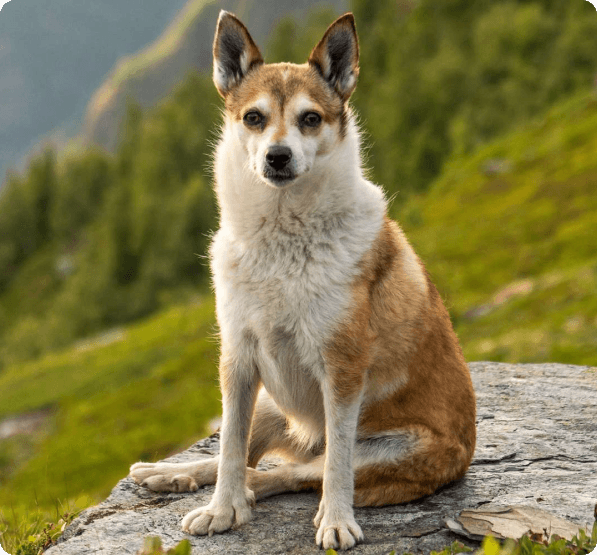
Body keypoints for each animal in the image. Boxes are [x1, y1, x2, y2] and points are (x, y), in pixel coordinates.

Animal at [130, 9, 474, 552]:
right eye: (254, 118)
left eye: (311, 118)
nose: (278, 157)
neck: (282, 237)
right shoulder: (238, 359)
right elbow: (229, 448)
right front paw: (221, 511)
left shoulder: (343, 368)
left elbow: (335, 468)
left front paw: (336, 521)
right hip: (270, 403)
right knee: (247, 457)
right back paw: (172, 475)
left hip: (390, 449)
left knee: (293, 472)